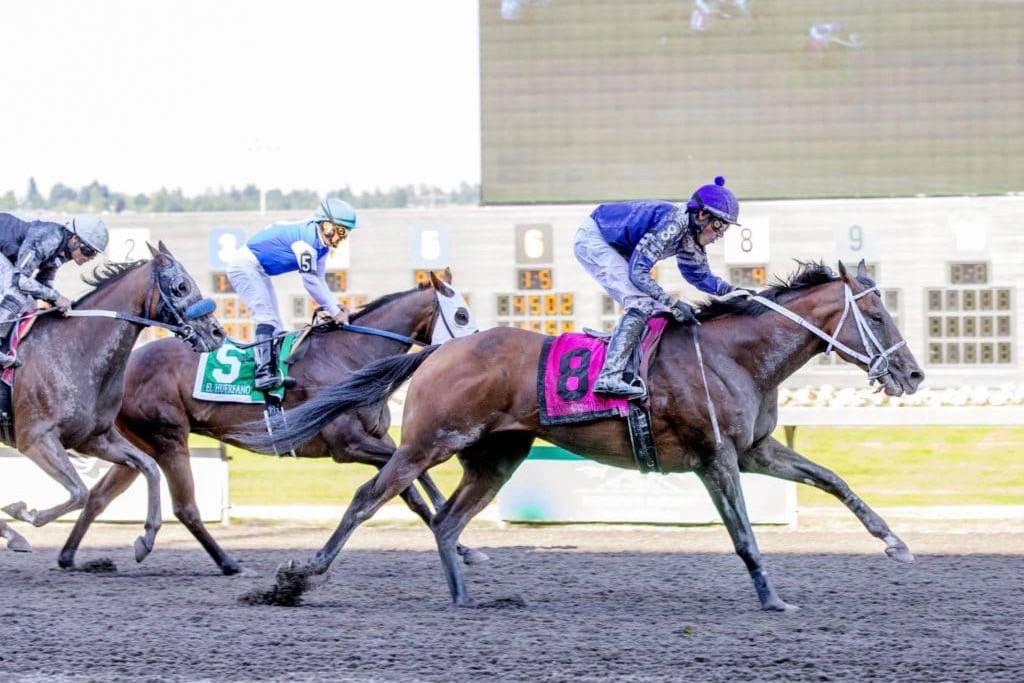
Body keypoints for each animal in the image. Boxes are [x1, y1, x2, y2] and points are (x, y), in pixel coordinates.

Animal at [0, 242, 224, 565]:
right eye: (181, 286)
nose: (217, 333)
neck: (74, 351)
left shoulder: (92, 438)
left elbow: (149, 466)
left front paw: (146, 538)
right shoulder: (36, 439)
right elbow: (79, 492)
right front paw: (22, 515)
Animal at [58, 270, 485, 573]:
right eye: (461, 314)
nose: (478, 347)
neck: (351, 354)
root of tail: (124, 365)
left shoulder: (380, 440)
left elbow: (414, 490)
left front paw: (463, 546)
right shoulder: (348, 445)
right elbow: (414, 481)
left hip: (139, 442)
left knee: (102, 493)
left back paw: (70, 556)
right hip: (168, 437)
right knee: (186, 507)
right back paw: (228, 563)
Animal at [243, 260, 925, 610]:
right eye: (876, 312)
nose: (914, 374)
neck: (734, 355)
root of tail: (439, 350)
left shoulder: (756, 450)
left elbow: (833, 479)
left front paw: (895, 544)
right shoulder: (716, 457)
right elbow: (745, 536)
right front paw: (772, 598)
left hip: (496, 457)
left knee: (446, 521)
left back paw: (465, 598)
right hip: (426, 443)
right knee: (371, 499)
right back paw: (298, 578)